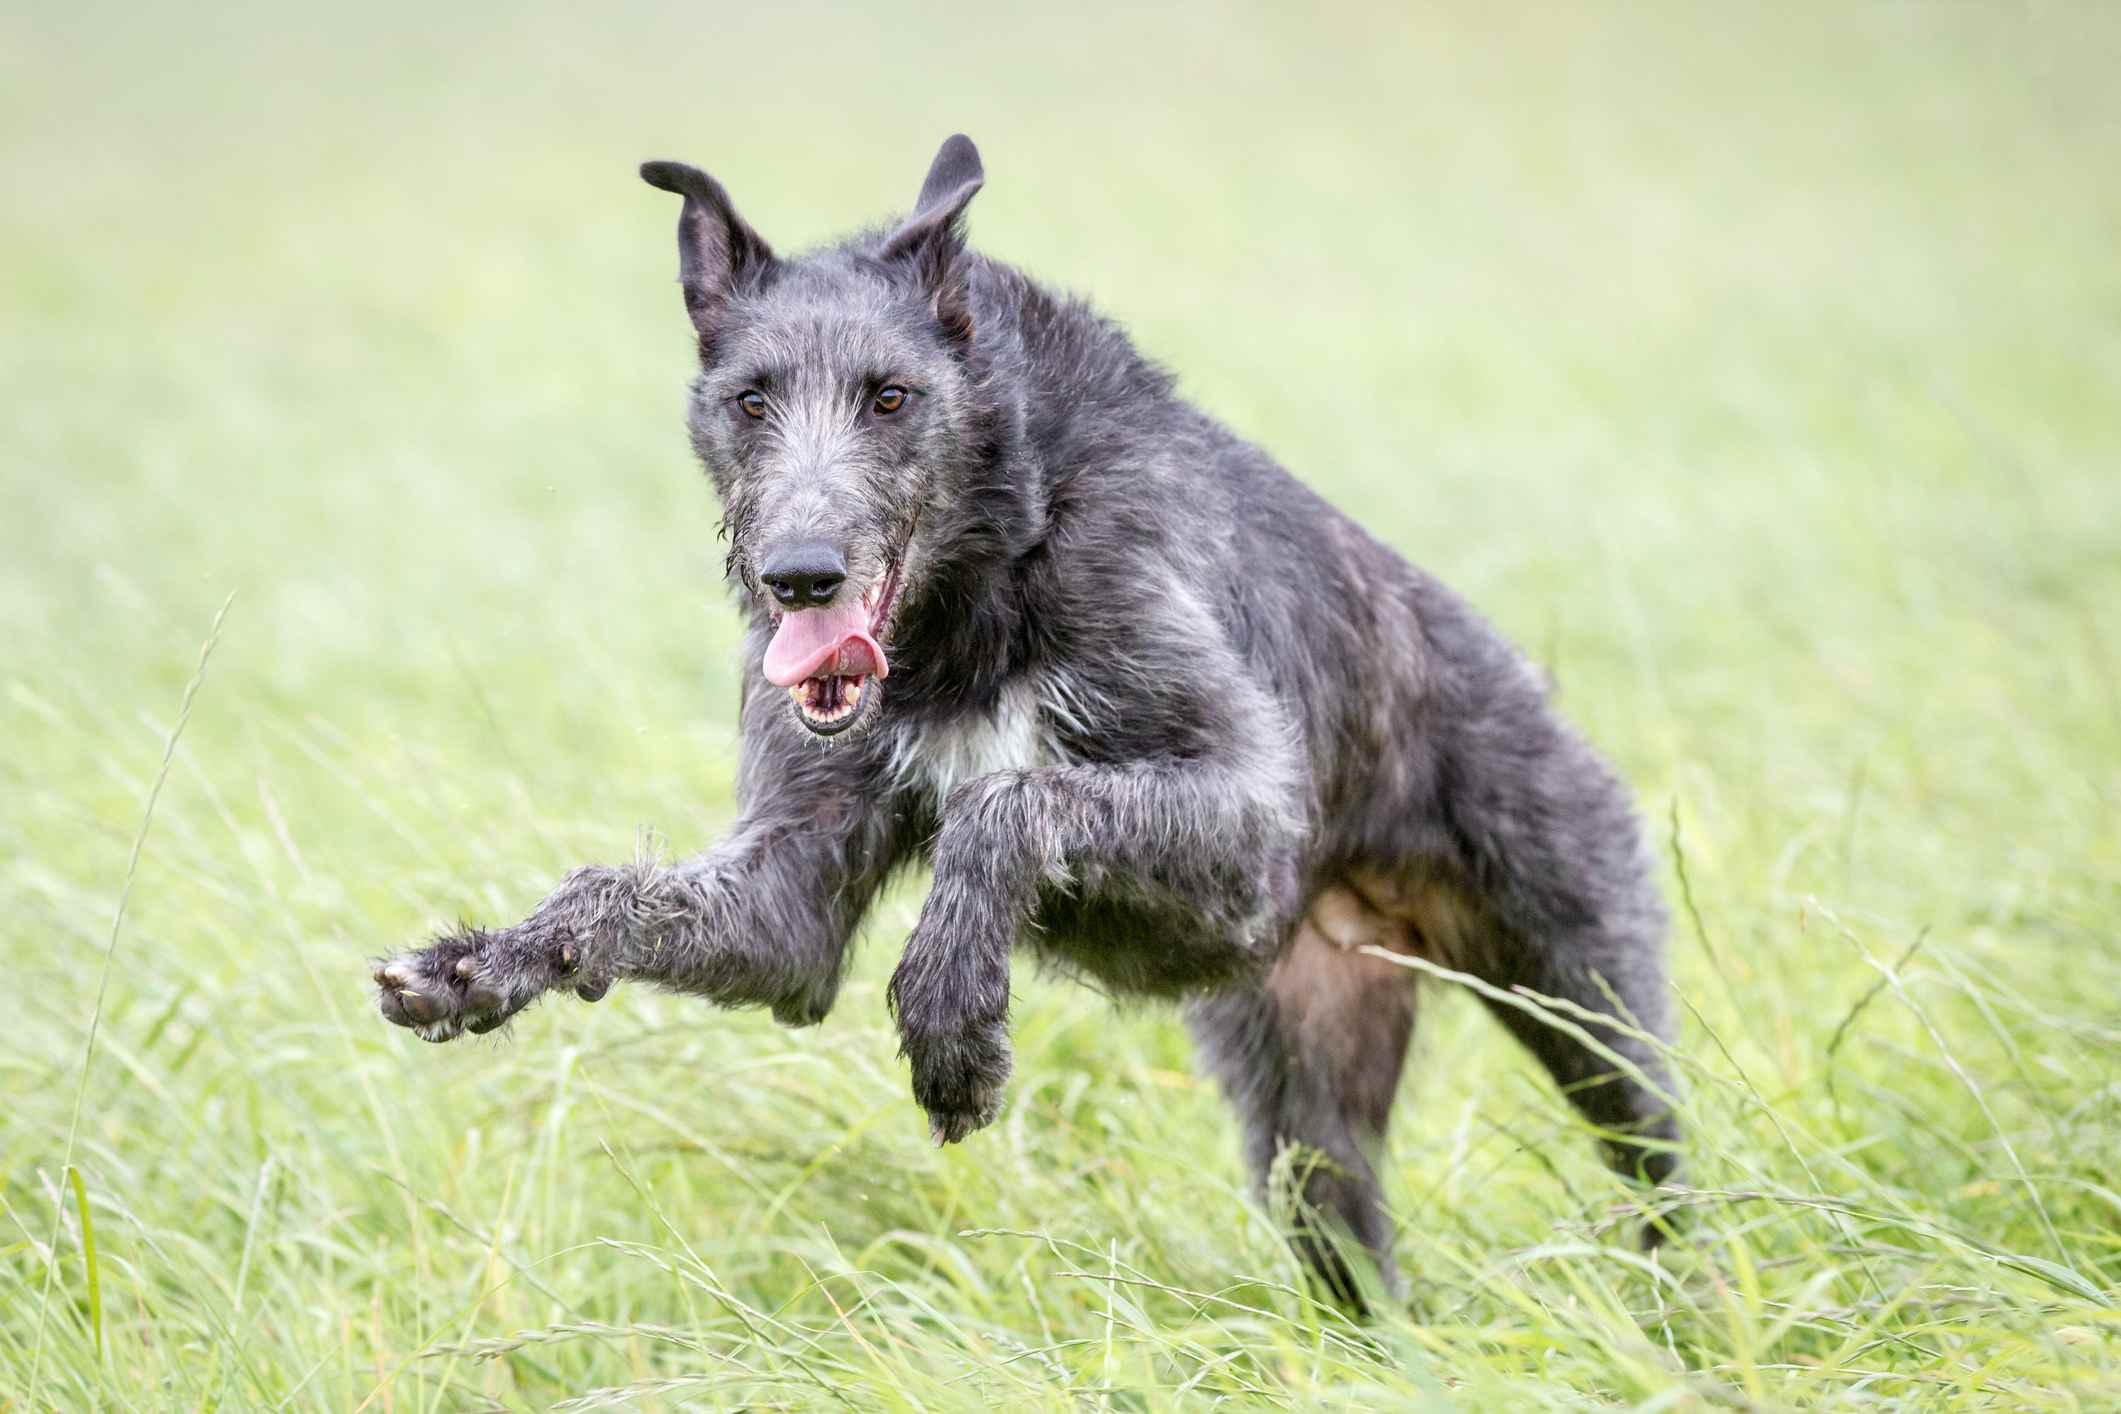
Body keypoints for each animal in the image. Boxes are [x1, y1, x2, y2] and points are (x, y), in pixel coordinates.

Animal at [373, 132, 1679, 1305]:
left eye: (890, 396)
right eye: (750, 400)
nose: (798, 576)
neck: (977, 595)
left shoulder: (1252, 823)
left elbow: (1005, 801)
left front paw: (953, 1023)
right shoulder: (792, 891)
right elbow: (637, 899)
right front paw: (479, 962)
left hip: (1585, 976)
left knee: (1657, 1161)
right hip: (1305, 1100)